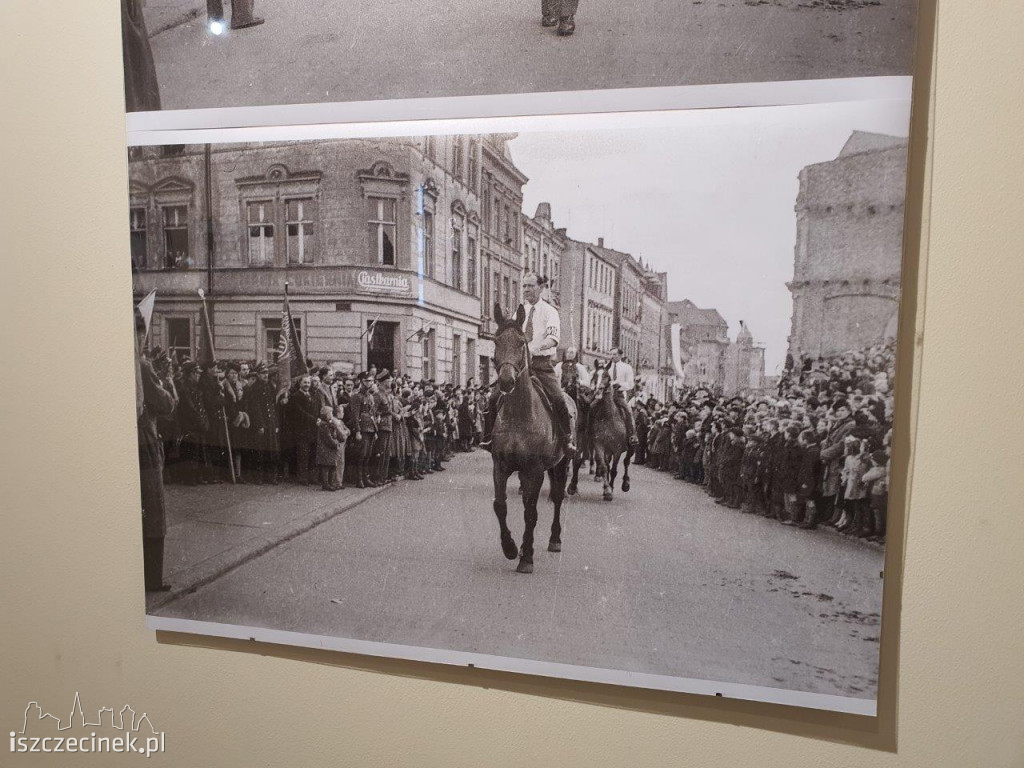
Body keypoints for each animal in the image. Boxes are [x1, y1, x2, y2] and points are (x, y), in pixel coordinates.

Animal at [489, 303, 573, 573]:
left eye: (521, 342)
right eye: (496, 340)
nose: (506, 381)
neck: (519, 414)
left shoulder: (533, 470)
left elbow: (531, 513)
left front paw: (526, 558)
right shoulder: (500, 466)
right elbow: (501, 505)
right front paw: (510, 548)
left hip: (562, 464)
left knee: (556, 498)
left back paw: (555, 539)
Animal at [589, 368, 626, 501]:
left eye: (607, 376)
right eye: (595, 376)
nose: (598, 390)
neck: (609, 417)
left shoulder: (618, 448)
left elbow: (614, 469)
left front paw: (611, 489)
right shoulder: (599, 444)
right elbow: (604, 467)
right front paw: (607, 491)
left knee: (626, 463)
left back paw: (625, 484)